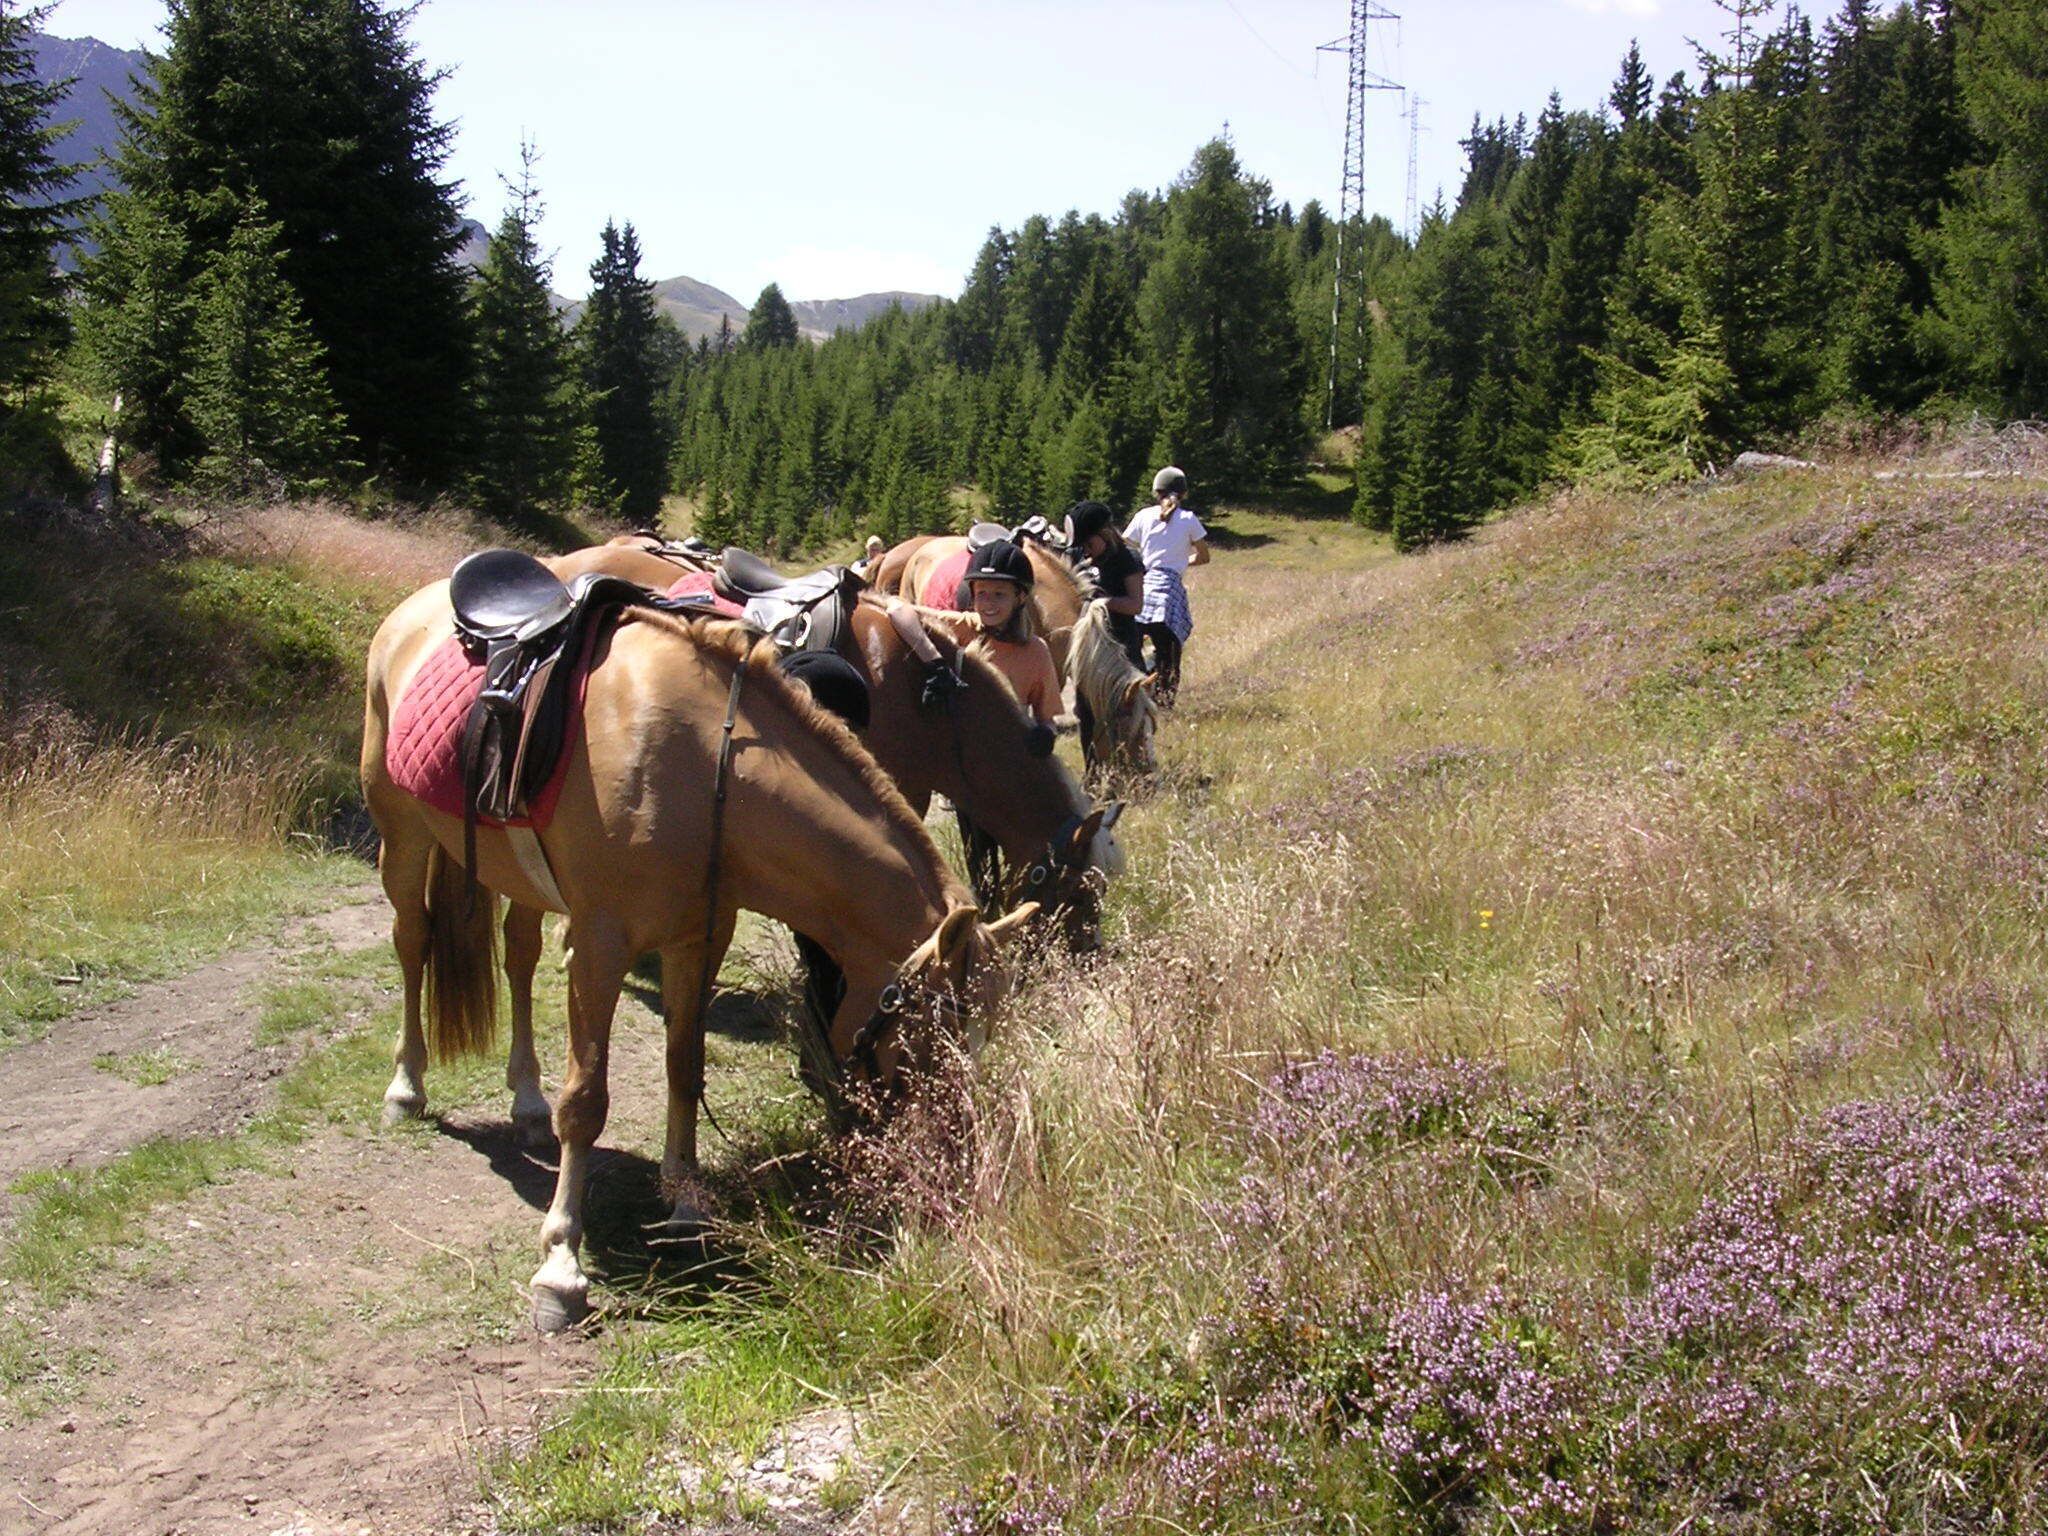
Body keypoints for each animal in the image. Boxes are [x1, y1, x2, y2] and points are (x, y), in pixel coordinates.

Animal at [362, 582, 1037, 1330]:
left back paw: (527, 1101)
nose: (958, 1170)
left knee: (518, 956)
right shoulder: (599, 948)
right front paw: (561, 1266)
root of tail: (416, 608)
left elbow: (685, 1068)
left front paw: (686, 1203)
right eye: (929, 1032)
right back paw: (406, 1088)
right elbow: (586, 1102)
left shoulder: (699, 939)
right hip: (402, 836)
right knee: (413, 942)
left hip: (517, 874)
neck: (703, 772)